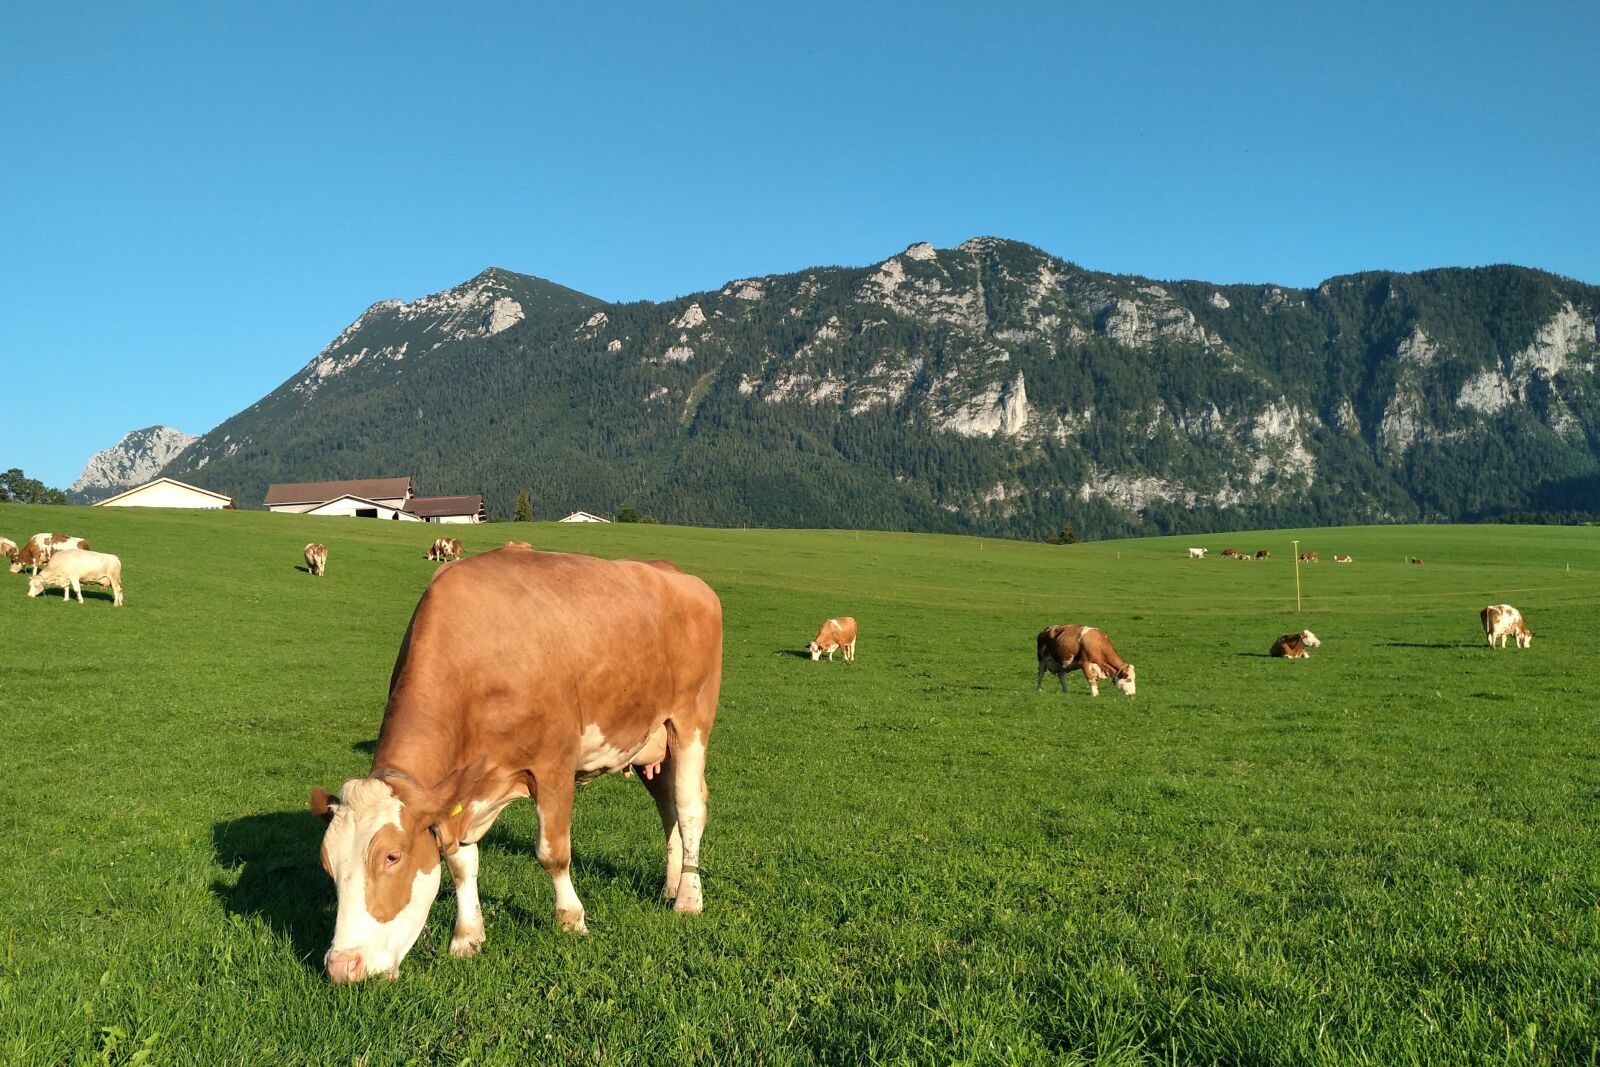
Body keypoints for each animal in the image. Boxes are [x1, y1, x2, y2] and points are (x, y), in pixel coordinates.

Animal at [308, 544, 722, 983]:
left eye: (392, 856)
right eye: (328, 864)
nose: (342, 966)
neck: (477, 663)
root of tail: (678, 574)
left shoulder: (554, 765)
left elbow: (552, 853)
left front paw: (572, 919)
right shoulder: (460, 794)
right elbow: (460, 864)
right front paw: (466, 936)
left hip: (690, 720)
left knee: (689, 808)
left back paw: (688, 898)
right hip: (650, 742)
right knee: (668, 809)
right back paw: (671, 885)